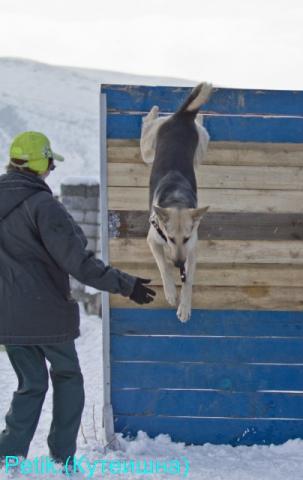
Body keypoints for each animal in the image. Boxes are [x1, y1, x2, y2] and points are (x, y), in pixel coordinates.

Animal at [141, 82, 214, 322]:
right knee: (146, 125)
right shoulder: (153, 241)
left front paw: (184, 305)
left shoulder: (192, 250)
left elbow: (189, 280)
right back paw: (153, 112)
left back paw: (199, 116)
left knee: (199, 122)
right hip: (148, 151)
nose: (179, 264)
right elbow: (163, 265)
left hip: (200, 149)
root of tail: (182, 117)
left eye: (187, 238)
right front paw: (172, 292)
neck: (177, 200)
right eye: (171, 238)